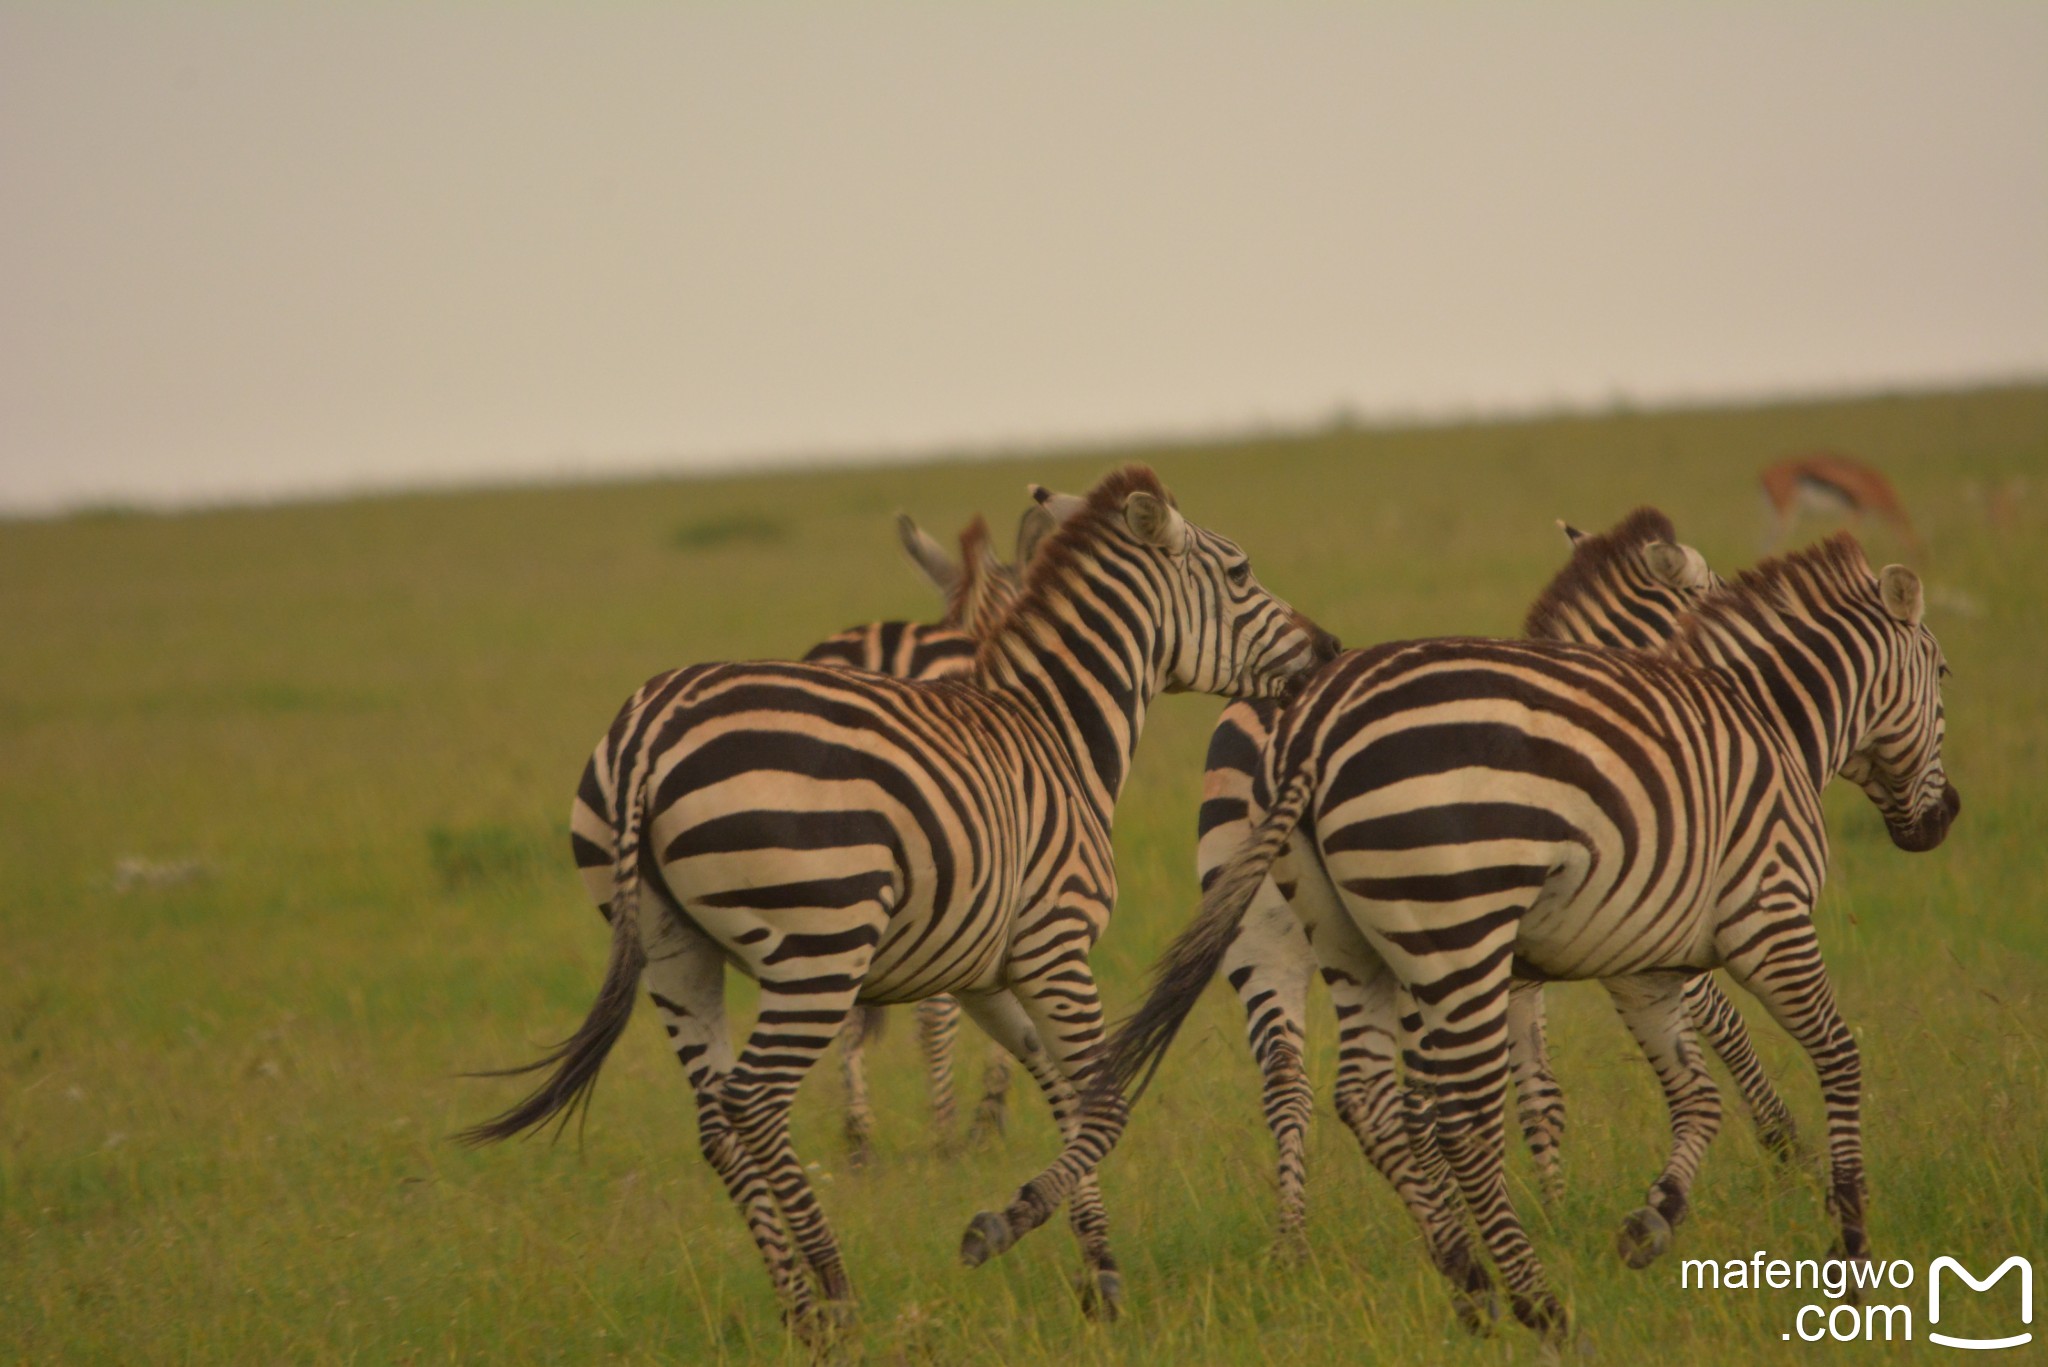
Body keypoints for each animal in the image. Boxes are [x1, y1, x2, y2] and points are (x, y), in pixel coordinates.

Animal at [966, 528, 1957, 1344]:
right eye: (1944, 675)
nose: (1943, 818)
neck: (1773, 720)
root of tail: (1300, 728)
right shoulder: (1757, 919)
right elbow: (1820, 1051)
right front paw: (1841, 1225)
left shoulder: (1633, 959)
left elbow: (1683, 1088)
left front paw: (1650, 1214)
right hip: (1447, 930)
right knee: (1452, 1117)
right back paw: (1534, 1301)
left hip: (1312, 939)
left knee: (1332, 1091)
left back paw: (1379, 1264)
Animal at [1761, 454, 1916, 561]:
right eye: (1908, 529)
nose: (1917, 557)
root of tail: (1764, 475)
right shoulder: (1855, 513)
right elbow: (1854, 536)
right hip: (1787, 516)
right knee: (1770, 542)